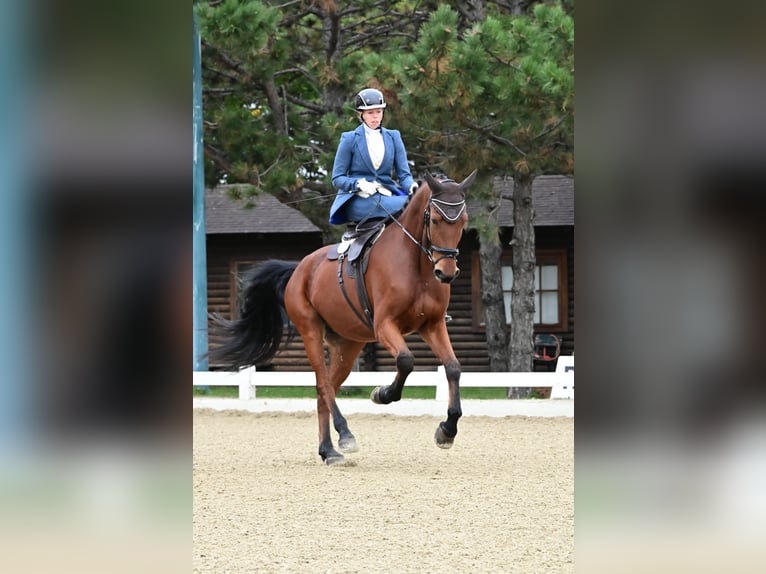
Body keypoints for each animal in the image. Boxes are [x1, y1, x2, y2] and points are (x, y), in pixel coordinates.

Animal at [210, 170, 477, 464]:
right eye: (437, 219)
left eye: (463, 222)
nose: (446, 273)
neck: (416, 264)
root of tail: (300, 268)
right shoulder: (384, 325)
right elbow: (406, 361)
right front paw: (382, 394)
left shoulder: (433, 325)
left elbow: (453, 368)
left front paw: (447, 431)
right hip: (311, 332)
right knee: (324, 385)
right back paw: (345, 435)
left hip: (347, 345)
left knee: (324, 390)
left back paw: (328, 450)